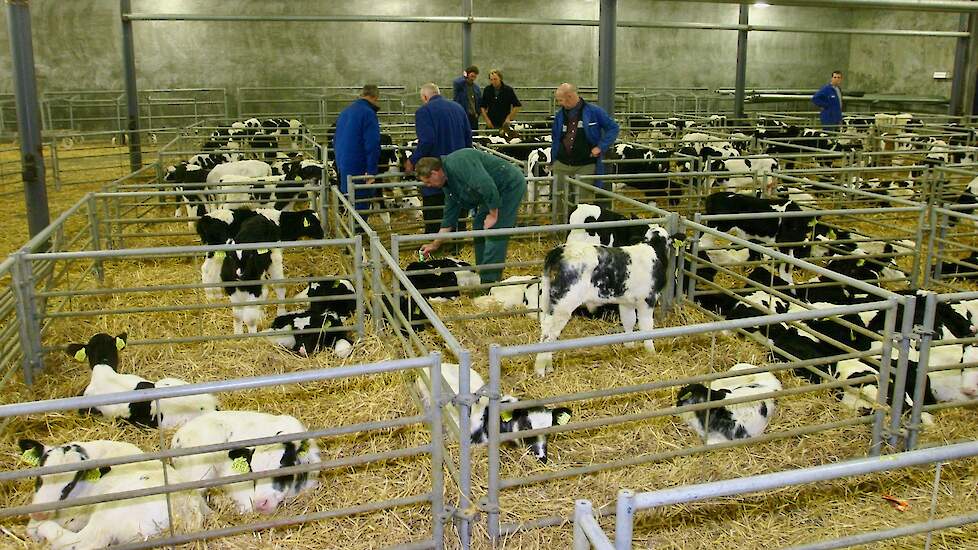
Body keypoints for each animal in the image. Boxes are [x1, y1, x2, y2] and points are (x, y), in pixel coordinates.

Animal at [532, 226, 680, 378]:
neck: (653, 249)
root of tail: (560, 250)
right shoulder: (648, 299)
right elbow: (646, 326)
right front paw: (651, 352)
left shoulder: (626, 302)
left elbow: (629, 322)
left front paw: (629, 347)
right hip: (563, 305)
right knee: (549, 335)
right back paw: (540, 371)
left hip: (549, 303)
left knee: (546, 330)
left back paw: (548, 367)